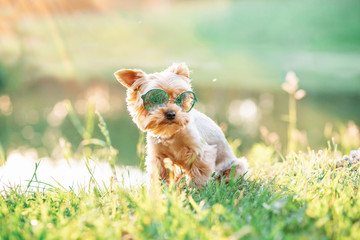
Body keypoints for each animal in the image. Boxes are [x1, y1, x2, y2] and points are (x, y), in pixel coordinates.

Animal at [114, 63, 249, 186]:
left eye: (180, 99)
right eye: (155, 99)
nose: (171, 113)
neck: (171, 133)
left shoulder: (201, 152)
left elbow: (199, 175)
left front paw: (197, 190)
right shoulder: (159, 157)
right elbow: (161, 175)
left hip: (236, 166)